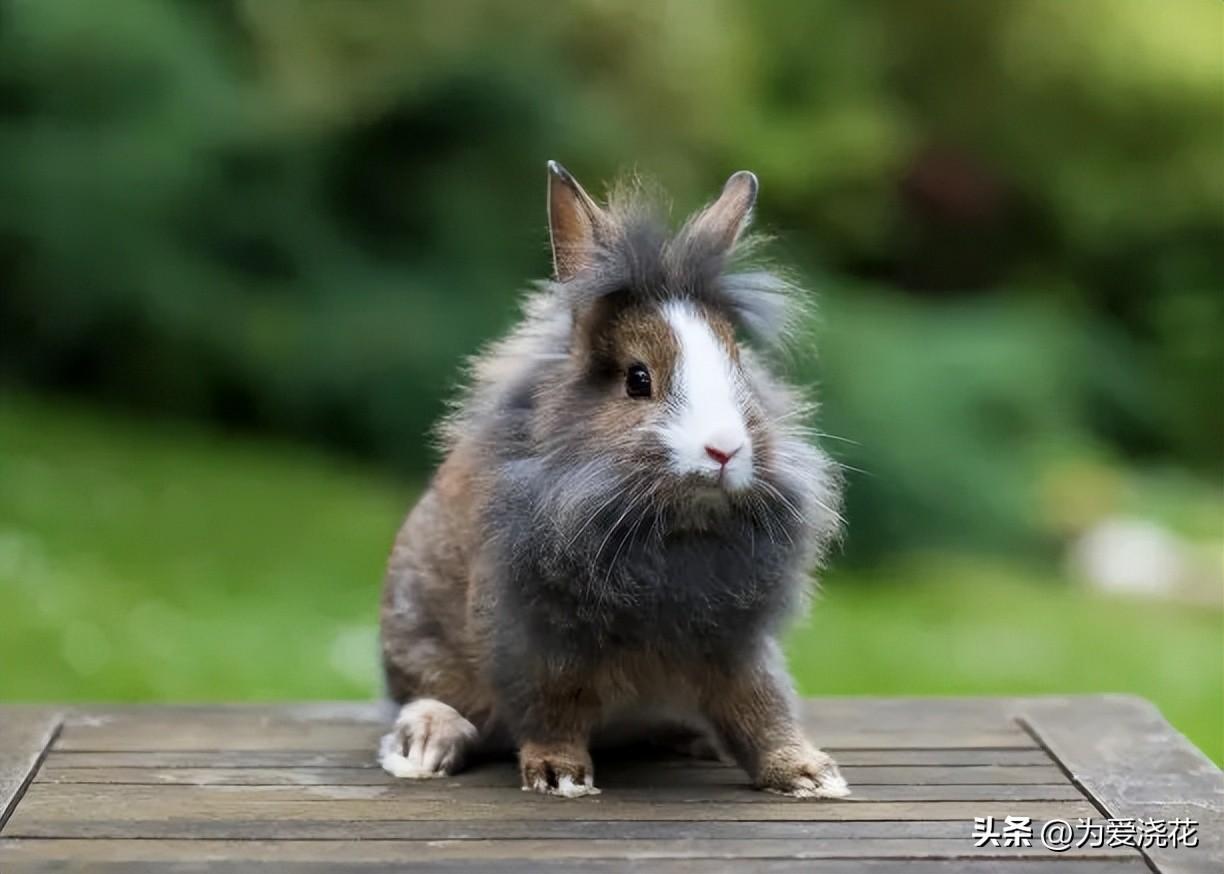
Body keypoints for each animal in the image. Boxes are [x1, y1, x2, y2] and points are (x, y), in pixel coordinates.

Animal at [376, 161, 847, 798]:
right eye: (637, 380)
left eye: (740, 369)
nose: (724, 449)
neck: (670, 530)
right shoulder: (539, 639)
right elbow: (553, 707)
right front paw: (559, 775)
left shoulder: (736, 644)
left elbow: (760, 706)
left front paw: (807, 774)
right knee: (433, 701)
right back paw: (427, 743)